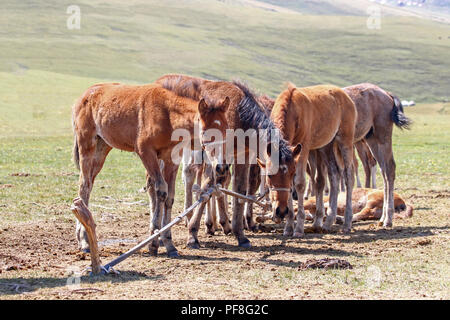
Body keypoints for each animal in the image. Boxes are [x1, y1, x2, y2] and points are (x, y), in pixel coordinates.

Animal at [72, 82, 230, 258]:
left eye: (226, 130)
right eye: (205, 133)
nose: (221, 166)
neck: (167, 115)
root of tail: (85, 94)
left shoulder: (171, 159)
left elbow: (169, 197)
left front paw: (169, 243)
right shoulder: (146, 152)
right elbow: (160, 191)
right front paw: (154, 243)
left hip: (102, 148)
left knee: (88, 185)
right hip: (87, 146)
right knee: (84, 187)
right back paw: (84, 242)